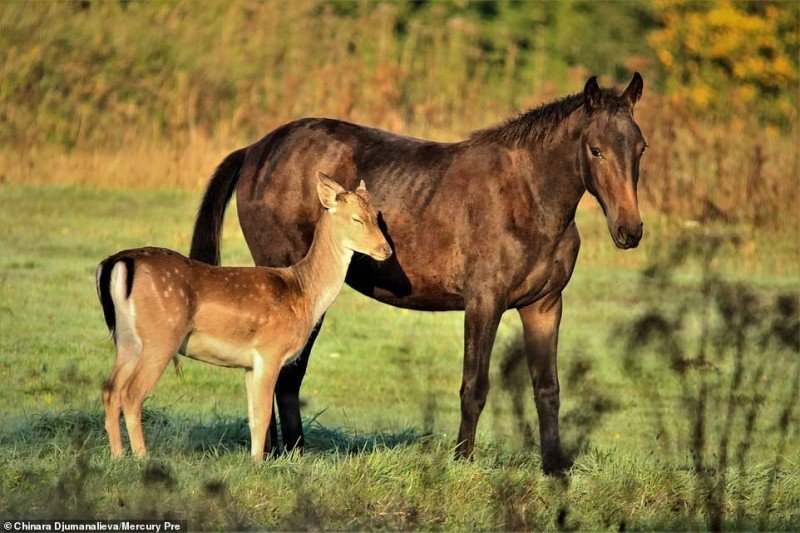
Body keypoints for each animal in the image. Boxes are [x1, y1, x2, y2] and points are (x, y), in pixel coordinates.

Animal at [95, 175, 392, 458]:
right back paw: (141, 457)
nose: (386, 250)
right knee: (132, 393)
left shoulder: (249, 364)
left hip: (126, 338)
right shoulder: (270, 352)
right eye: (356, 218)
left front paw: (253, 458)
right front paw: (259, 463)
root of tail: (118, 262)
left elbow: (252, 417)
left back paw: (118, 456)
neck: (304, 293)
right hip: (161, 336)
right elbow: (263, 416)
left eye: (376, 216)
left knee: (110, 389)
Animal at [191, 72, 648, 472]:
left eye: (640, 148)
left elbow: (548, 389)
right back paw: (271, 454)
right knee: (278, 373)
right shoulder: (484, 303)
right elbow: (474, 387)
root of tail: (256, 149)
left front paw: (554, 469)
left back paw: (295, 453)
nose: (629, 230)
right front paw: (462, 463)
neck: (527, 198)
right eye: (596, 150)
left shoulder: (544, 306)